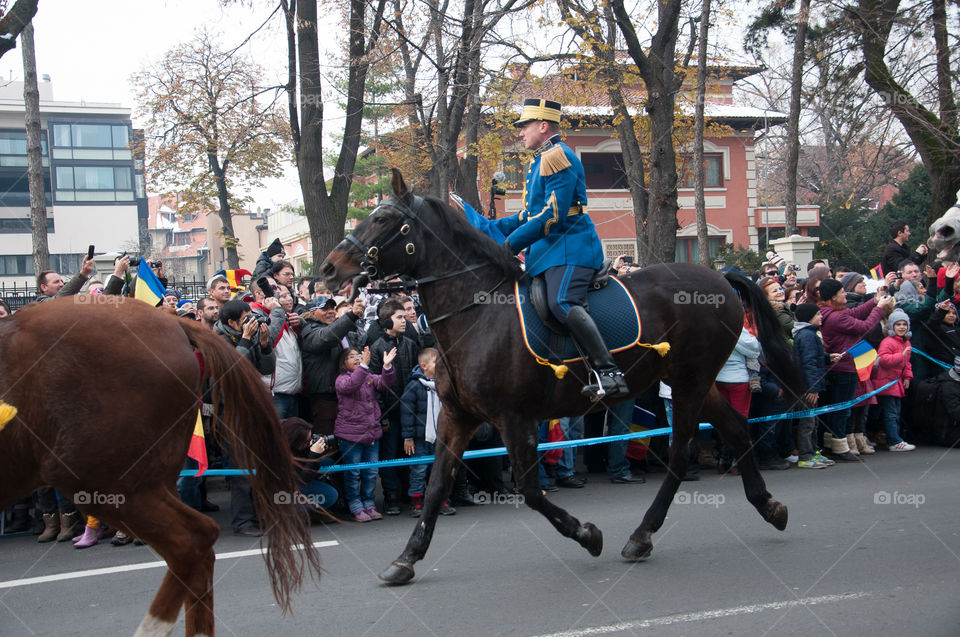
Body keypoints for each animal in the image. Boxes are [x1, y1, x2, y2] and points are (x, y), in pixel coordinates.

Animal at [322, 169, 804, 588]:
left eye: (383, 219)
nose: (328, 268)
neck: (478, 313)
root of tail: (718, 276)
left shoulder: (514, 418)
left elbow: (531, 491)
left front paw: (588, 535)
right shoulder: (458, 417)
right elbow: (439, 483)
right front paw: (406, 558)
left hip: (691, 382)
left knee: (683, 452)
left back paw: (643, 534)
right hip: (694, 382)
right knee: (736, 428)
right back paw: (768, 506)